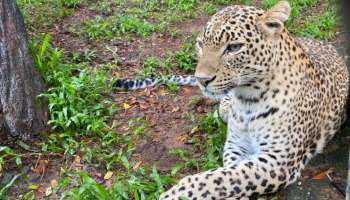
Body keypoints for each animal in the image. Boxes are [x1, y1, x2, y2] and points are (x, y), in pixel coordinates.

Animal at [157, 0, 348, 199]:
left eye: (234, 47)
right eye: (200, 44)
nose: (201, 80)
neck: (248, 100)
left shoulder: (279, 161)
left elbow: (222, 177)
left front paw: (173, 194)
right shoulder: (236, 145)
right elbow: (229, 171)